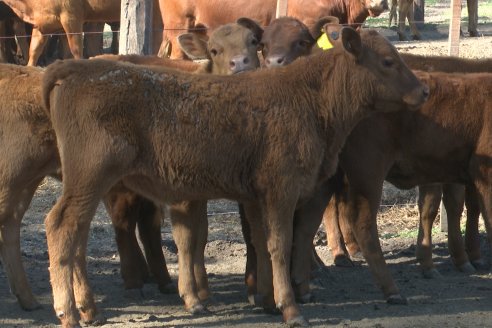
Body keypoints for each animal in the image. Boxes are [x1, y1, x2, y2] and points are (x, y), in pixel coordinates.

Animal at [41, 28, 426, 328]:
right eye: (388, 61)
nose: (423, 90)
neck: (308, 95)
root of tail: (79, 70)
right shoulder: (282, 191)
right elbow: (279, 244)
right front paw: (290, 308)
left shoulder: (255, 196)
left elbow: (259, 241)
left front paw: (267, 300)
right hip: (90, 178)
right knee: (61, 226)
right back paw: (68, 313)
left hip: (91, 185)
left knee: (76, 235)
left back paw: (88, 309)